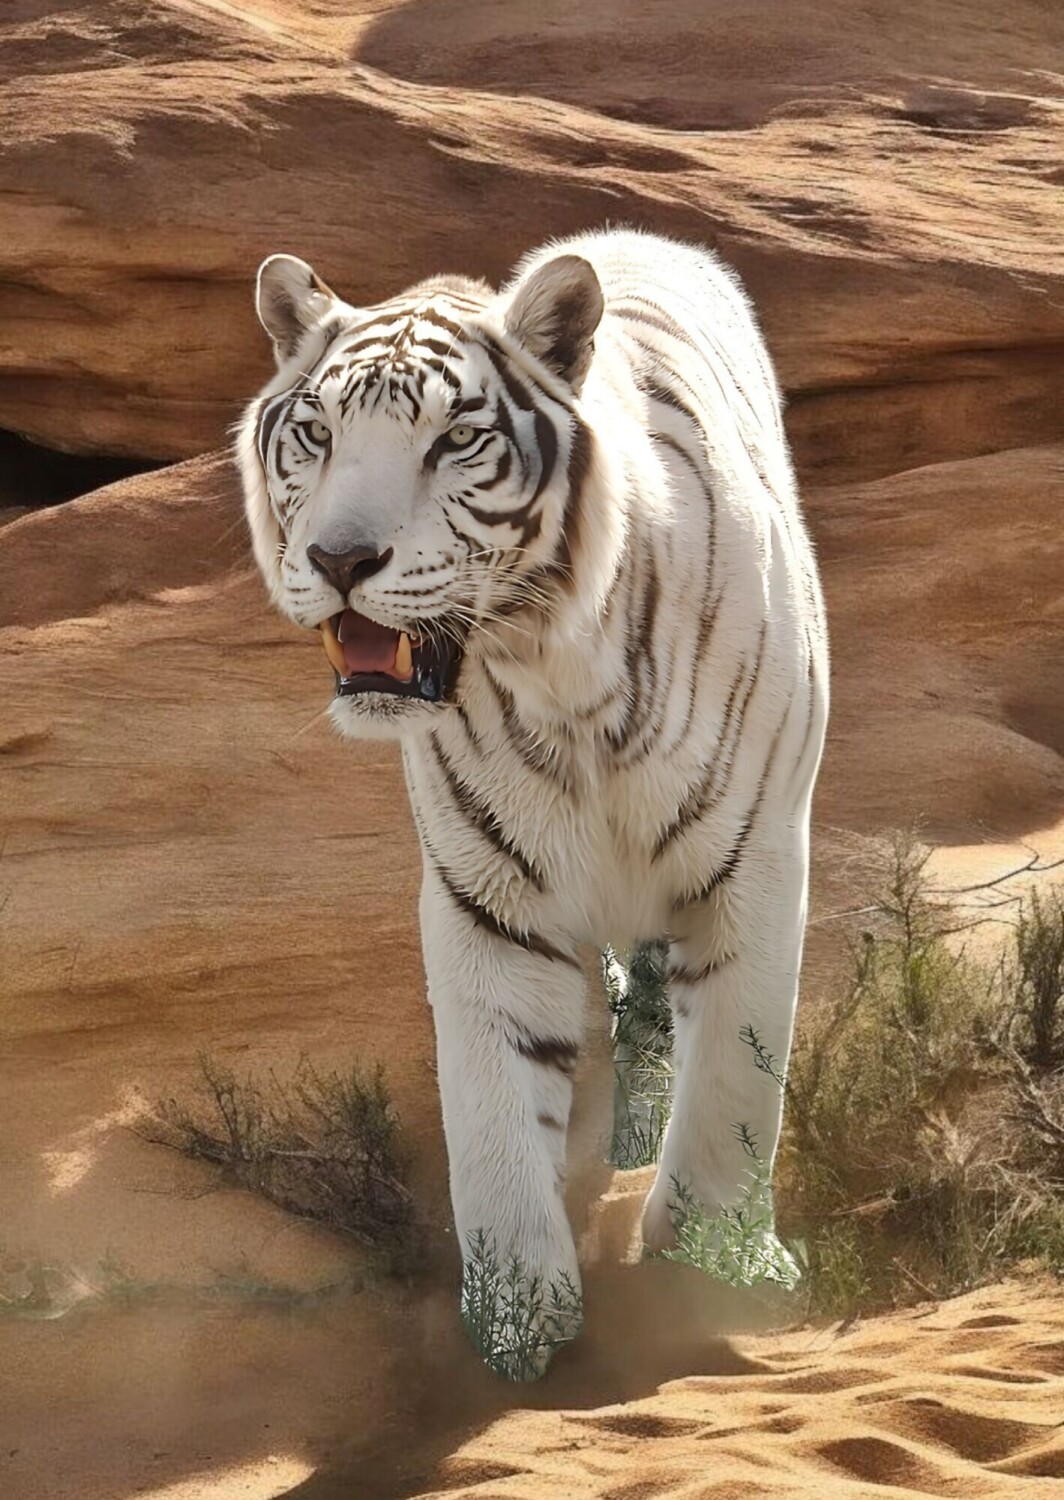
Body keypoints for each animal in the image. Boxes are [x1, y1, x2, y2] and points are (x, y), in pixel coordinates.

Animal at [236, 227, 829, 1379]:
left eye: (455, 439)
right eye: (317, 434)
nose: (337, 558)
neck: (563, 679)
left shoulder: (754, 866)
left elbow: (734, 1088)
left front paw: (714, 1275)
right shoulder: (487, 892)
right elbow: (495, 1109)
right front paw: (516, 1329)